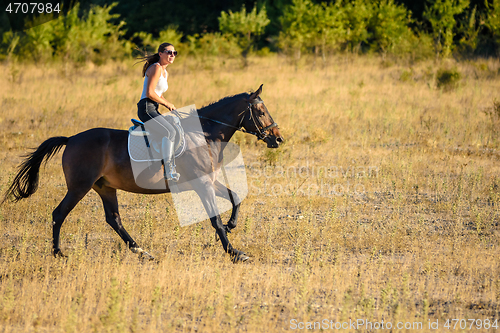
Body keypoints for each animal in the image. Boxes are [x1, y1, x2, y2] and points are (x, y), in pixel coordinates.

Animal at [3, 84, 284, 260]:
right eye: (260, 111)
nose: (278, 139)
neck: (203, 134)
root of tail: (71, 138)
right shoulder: (202, 184)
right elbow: (214, 218)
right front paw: (235, 253)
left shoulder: (208, 181)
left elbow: (235, 198)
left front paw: (231, 226)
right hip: (79, 187)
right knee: (59, 214)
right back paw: (58, 253)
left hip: (105, 187)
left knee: (114, 219)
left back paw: (142, 252)